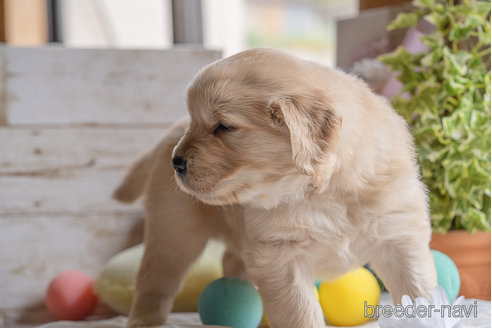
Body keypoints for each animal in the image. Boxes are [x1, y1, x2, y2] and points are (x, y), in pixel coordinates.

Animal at [113, 48, 436, 328]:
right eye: (197, 121)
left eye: (223, 126)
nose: (176, 163)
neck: (322, 191)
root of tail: (166, 138)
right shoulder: (281, 259)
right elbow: (301, 315)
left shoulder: (399, 238)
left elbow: (418, 291)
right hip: (174, 233)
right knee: (156, 278)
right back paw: (144, 320)